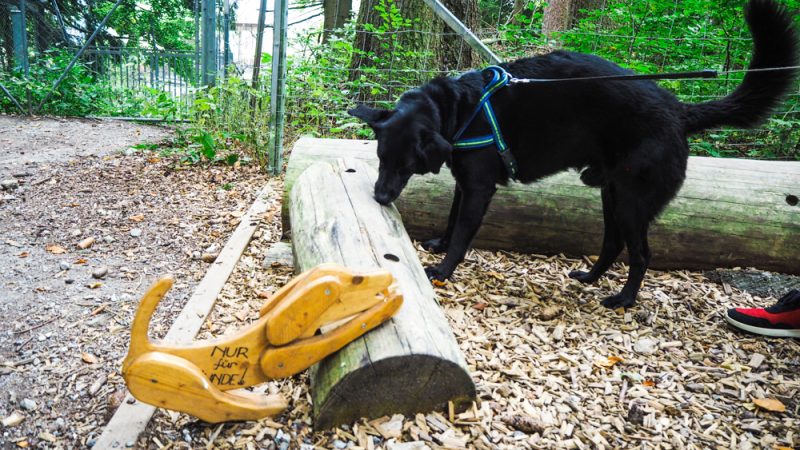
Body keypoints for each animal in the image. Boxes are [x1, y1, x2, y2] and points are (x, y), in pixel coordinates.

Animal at [346, 0, 796, 308]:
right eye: (380, 158)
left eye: (405, 165)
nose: (380, 197)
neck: (460, 109)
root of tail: (679, 111)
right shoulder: (464, 184)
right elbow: (453, 218)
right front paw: (439, 244)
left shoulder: (479, 188)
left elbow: (463, 231)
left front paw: (443, 269)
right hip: (611, 194)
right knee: (612, 244)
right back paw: (590, 278)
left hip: (632, 201)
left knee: (641, 254)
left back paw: (623, 299)